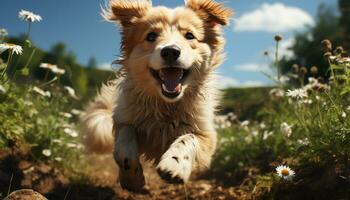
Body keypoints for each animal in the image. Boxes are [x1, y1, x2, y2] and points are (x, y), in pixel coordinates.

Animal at [82, 0, 232, 192]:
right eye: (151, 36)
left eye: (189, 35)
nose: (170, 51)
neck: (166, 105)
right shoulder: (124, 118)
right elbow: (125, 139)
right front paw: (132, 179)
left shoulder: (206, 137)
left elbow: (187, 138)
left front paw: (174, 165)